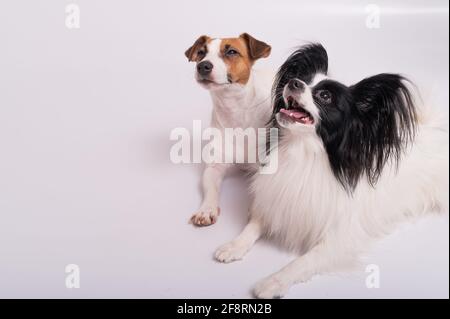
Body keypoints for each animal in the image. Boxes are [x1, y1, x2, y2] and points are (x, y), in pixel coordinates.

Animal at [184, 33, 274, 226]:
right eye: (201, 52)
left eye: (232, 52)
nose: (203, 66)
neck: (235, 110)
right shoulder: (214, 167)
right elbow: (210, 188)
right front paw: (206, 209)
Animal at [213, 43, 448, 300]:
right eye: (304, 79)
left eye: (325, 96)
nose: (294, 82)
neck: (303, 152)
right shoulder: (275, 204)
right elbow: (253, 226)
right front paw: (234, 246)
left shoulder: (338, 241)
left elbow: (302, 262)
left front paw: (272, 282)